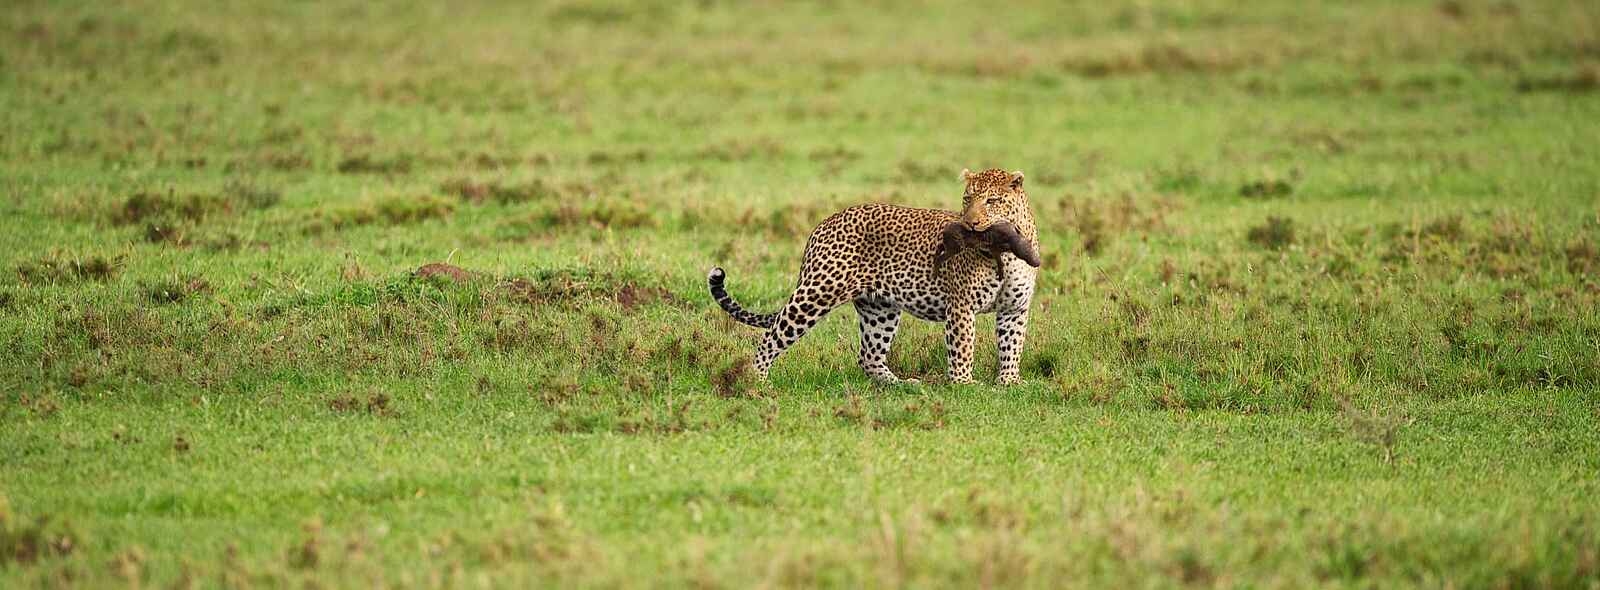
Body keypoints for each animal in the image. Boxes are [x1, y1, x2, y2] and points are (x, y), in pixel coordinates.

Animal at [707, 168, 1040, 385]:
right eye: (967, 199)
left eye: (992, 201)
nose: (970, 223)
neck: (1008, 253)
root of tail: (823, 223)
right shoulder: (961, 306)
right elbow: (962, 346)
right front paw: (963, 384)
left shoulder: (1015, 309)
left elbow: (1012, 345)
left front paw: (1009, 382)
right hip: (818, 292)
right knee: (771, 336)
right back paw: (756, 381)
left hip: (880, 308)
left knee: (869, 355)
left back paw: (900, 384)